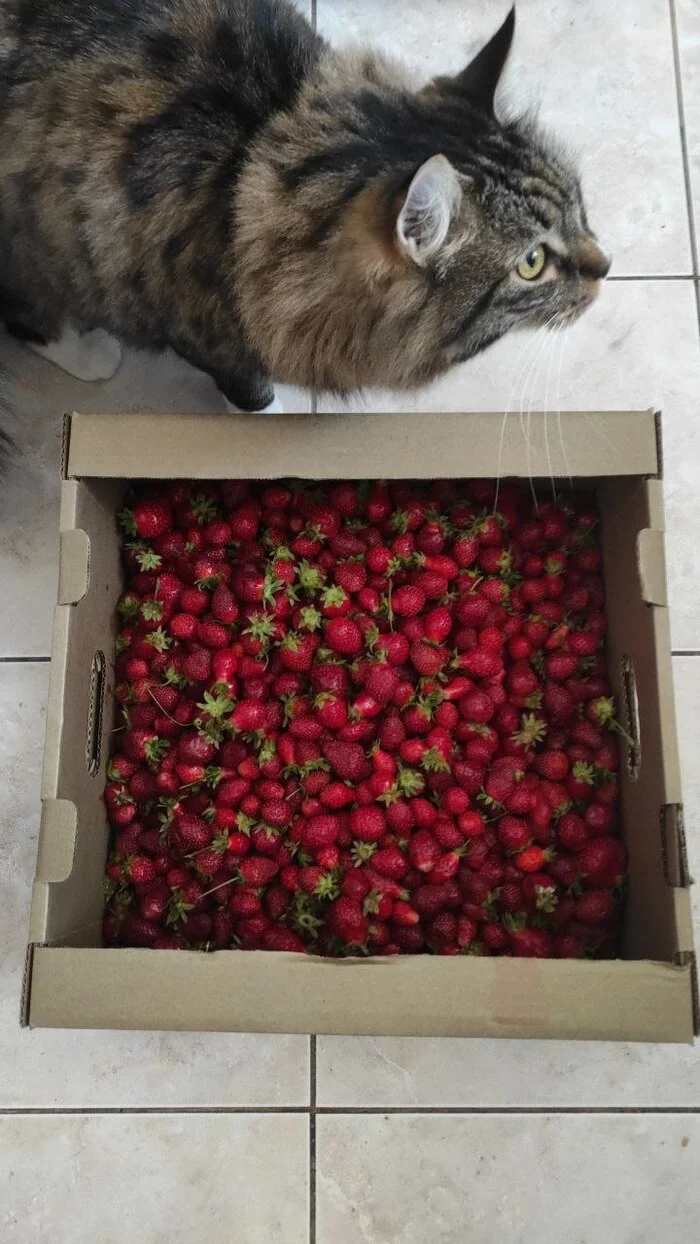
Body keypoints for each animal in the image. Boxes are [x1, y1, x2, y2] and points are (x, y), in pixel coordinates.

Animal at [0, 0, 609, 417]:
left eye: (579, 205)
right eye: (532, 263)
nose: (606, 268)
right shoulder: (201, 328)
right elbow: (253, 393)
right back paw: (93, 353)